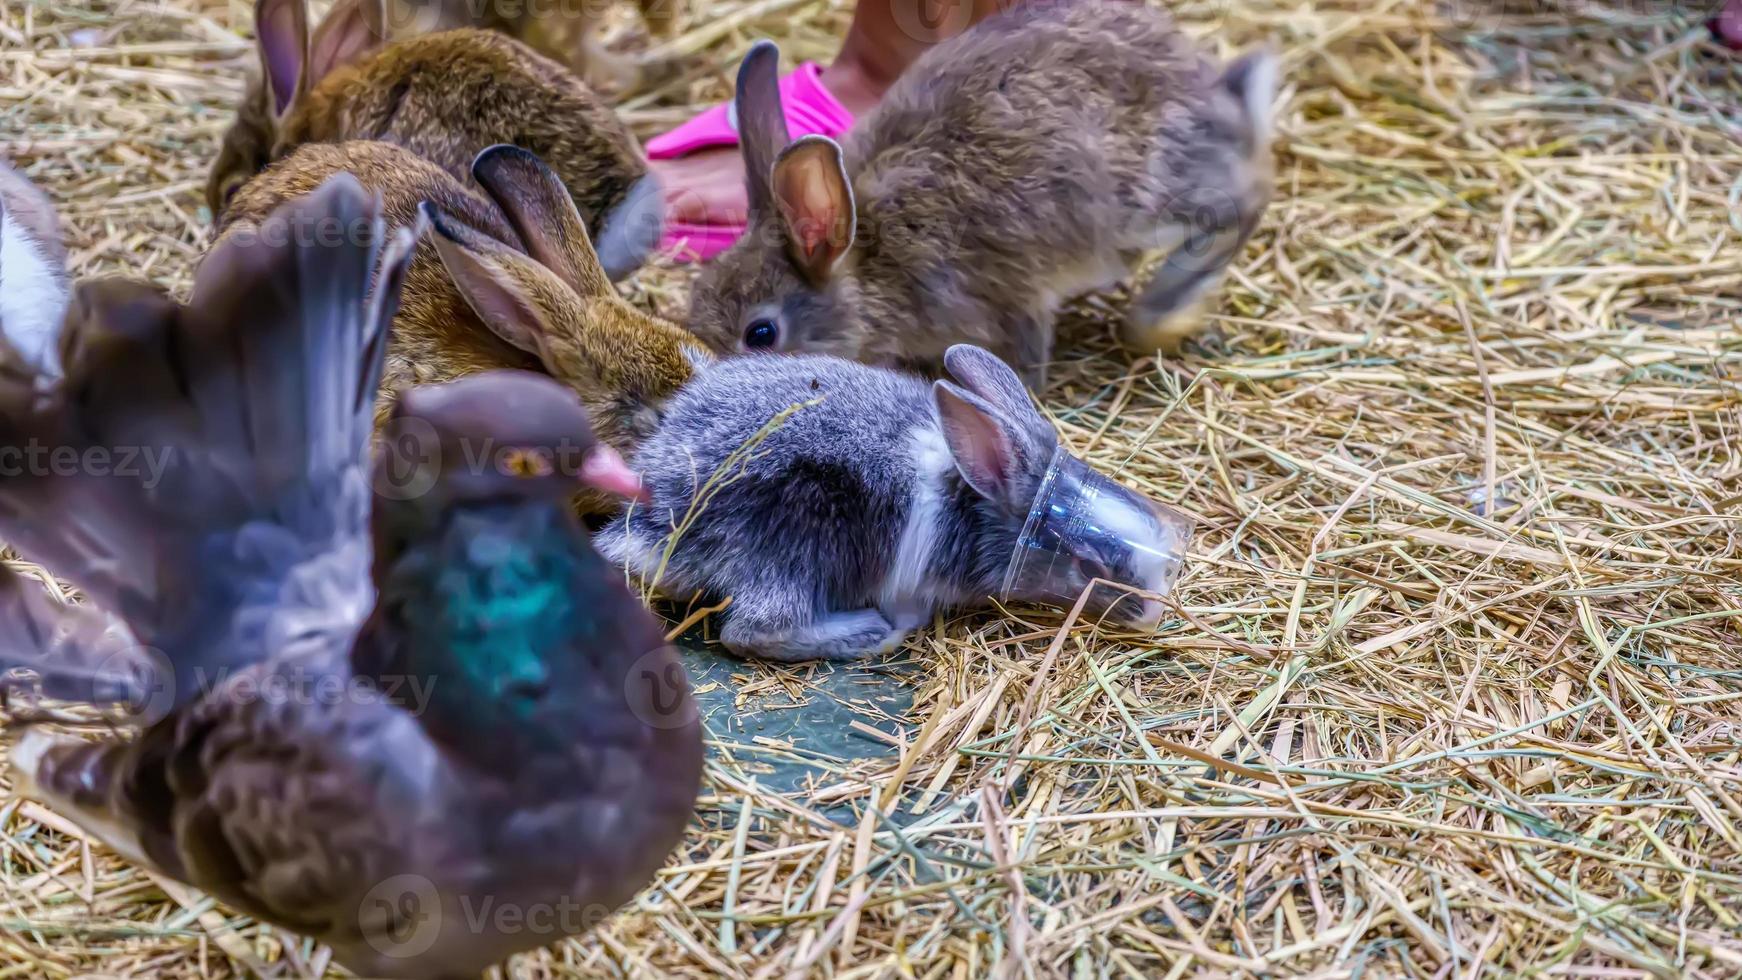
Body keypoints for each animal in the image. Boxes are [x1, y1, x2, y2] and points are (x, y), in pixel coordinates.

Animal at [592, 341, 1177, 664]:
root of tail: (657, 522)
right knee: (752, 630)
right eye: (1090, 568)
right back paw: (866, 632)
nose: (1154, 612)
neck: (970, 503)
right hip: (803, 537)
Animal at [682, 1, 1282, 389]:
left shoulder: (1004, 303)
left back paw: (1158, 317)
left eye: (760, 334)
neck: (868, 265)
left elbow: (1024, 356)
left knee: (1242, 205)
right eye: (694, 303)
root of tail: (1224, 100)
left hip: (1151, 196)